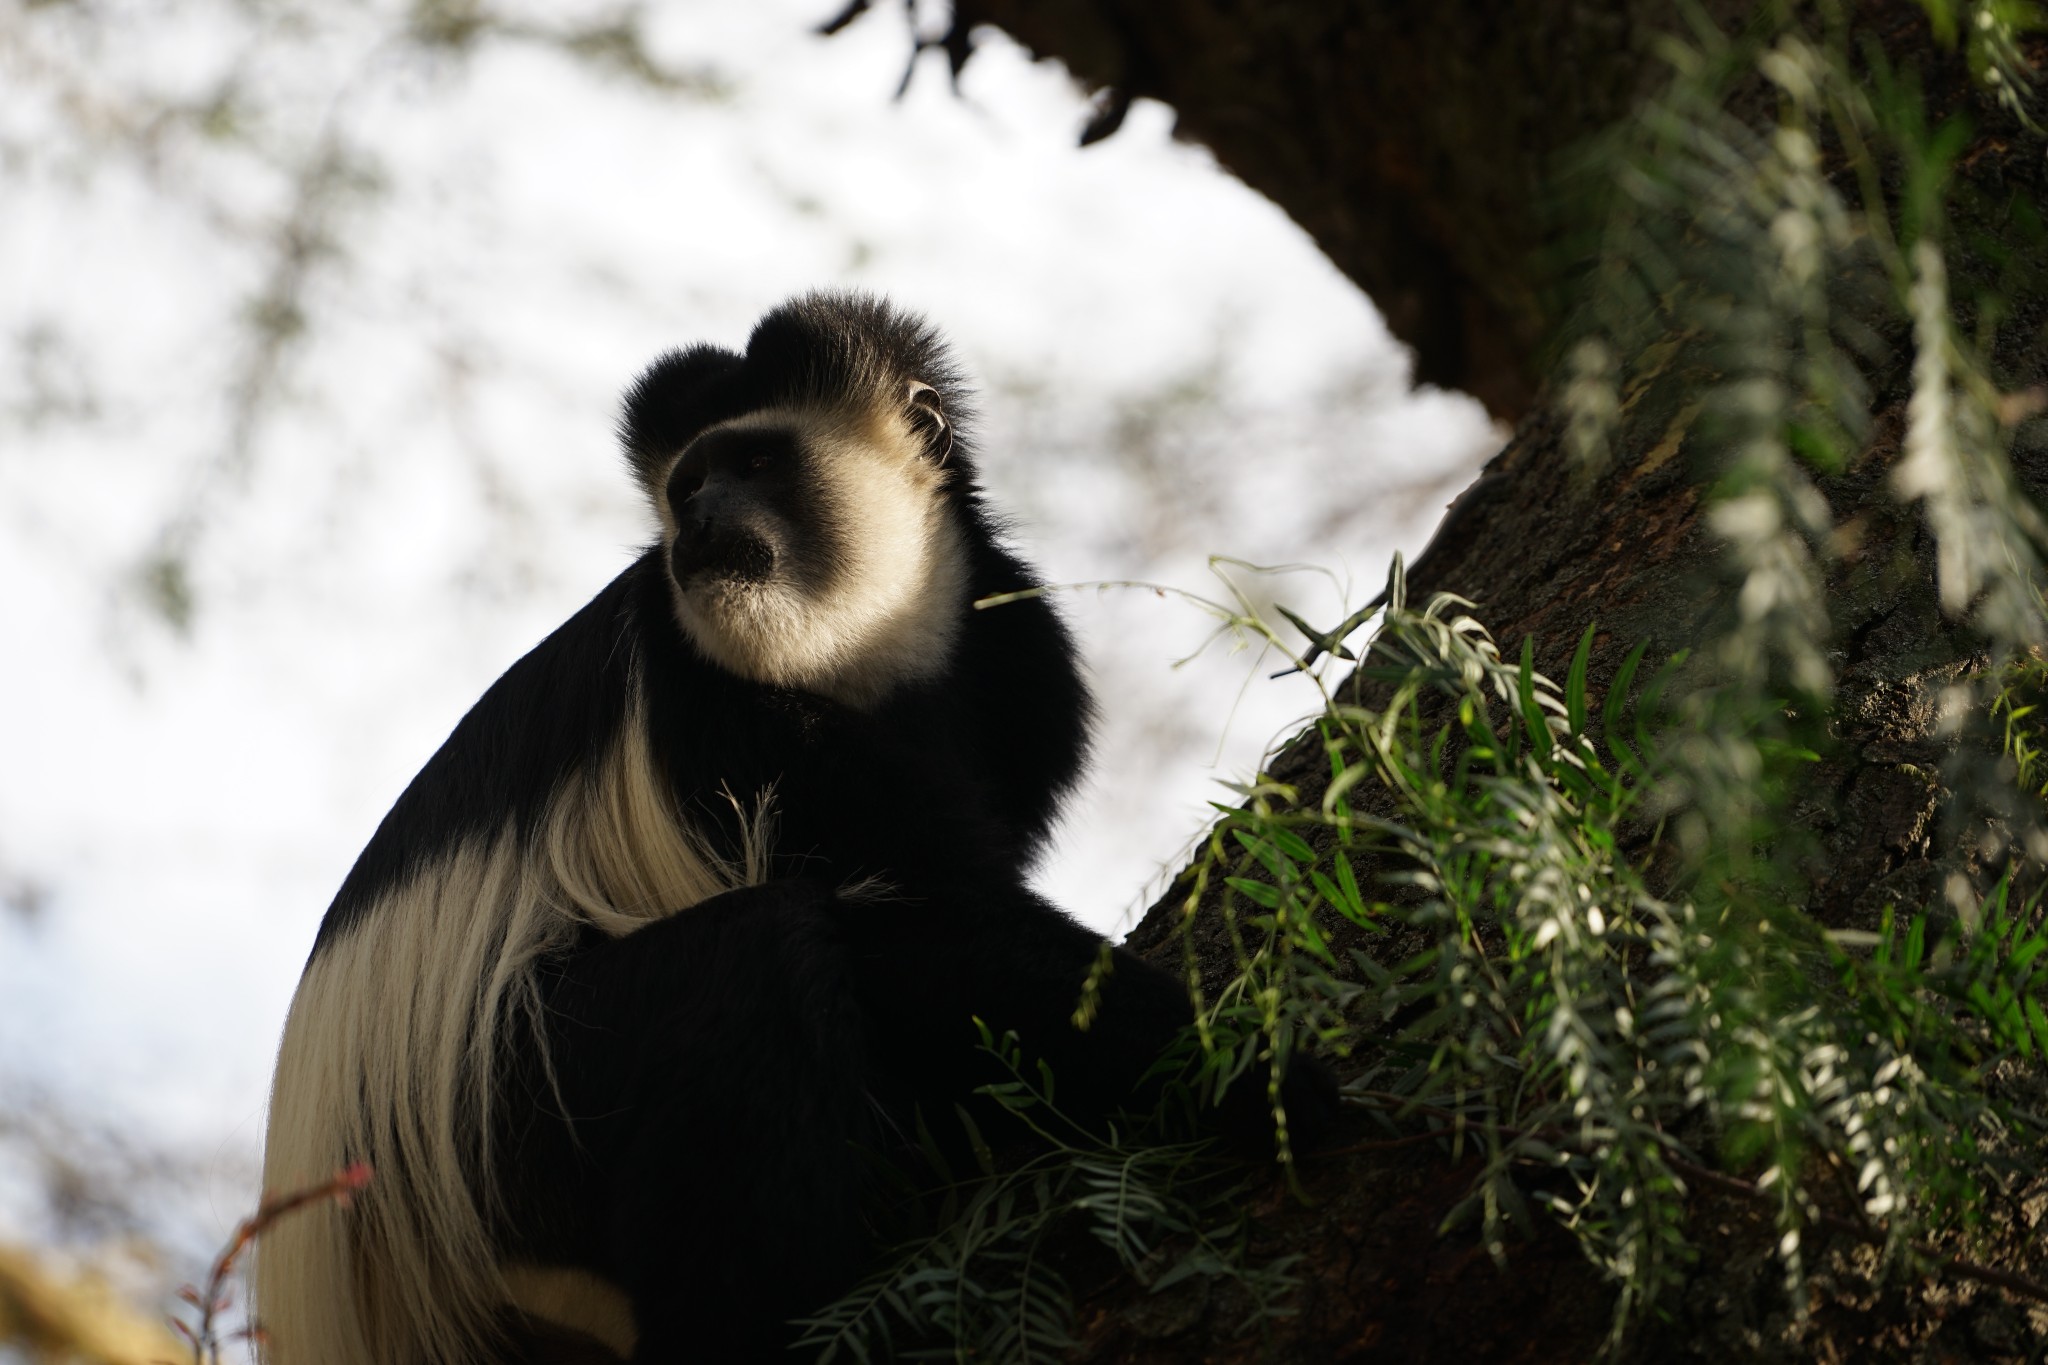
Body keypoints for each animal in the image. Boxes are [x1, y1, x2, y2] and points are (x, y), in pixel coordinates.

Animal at [256, 294, 1318, 1358]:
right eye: (689, 481)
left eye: (758, 461)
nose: (697, 518)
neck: (859, 655)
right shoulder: (714, 699)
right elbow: (929, 920)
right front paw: (1253, 1070)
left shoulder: (1023, 659)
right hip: (498, 1132)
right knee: (757, 955)